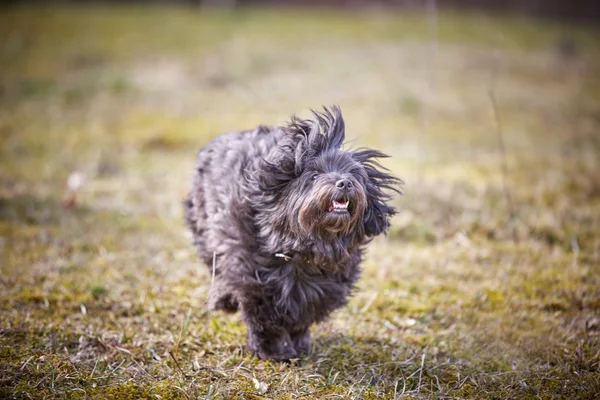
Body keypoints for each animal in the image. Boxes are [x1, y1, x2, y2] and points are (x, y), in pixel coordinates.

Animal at [185, 106, 400, 362]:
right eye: (314, 175)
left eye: (354, 175)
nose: (345, 183)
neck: (303, 246)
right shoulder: (252, 276)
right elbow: (264, 318)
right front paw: (273, 351)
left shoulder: (323, 286)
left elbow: (303, 313)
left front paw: (299, 344)